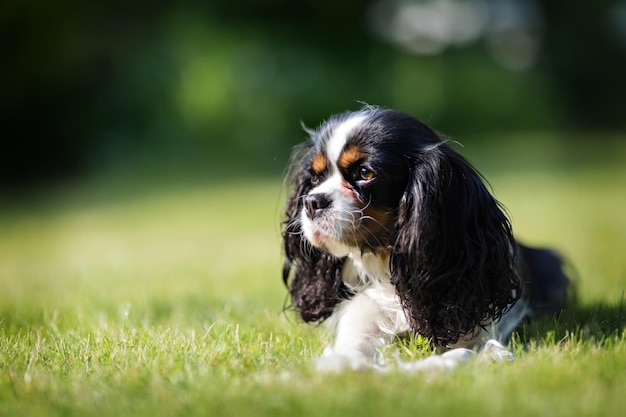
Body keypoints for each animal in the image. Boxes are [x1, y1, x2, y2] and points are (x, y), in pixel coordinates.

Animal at [282, 107, 572, 370]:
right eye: (315, 178)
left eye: (365, 173)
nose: (311, 202)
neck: (389, 264)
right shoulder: (362, 318)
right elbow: (351, 355)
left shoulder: (475, 330)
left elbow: (458, 356)